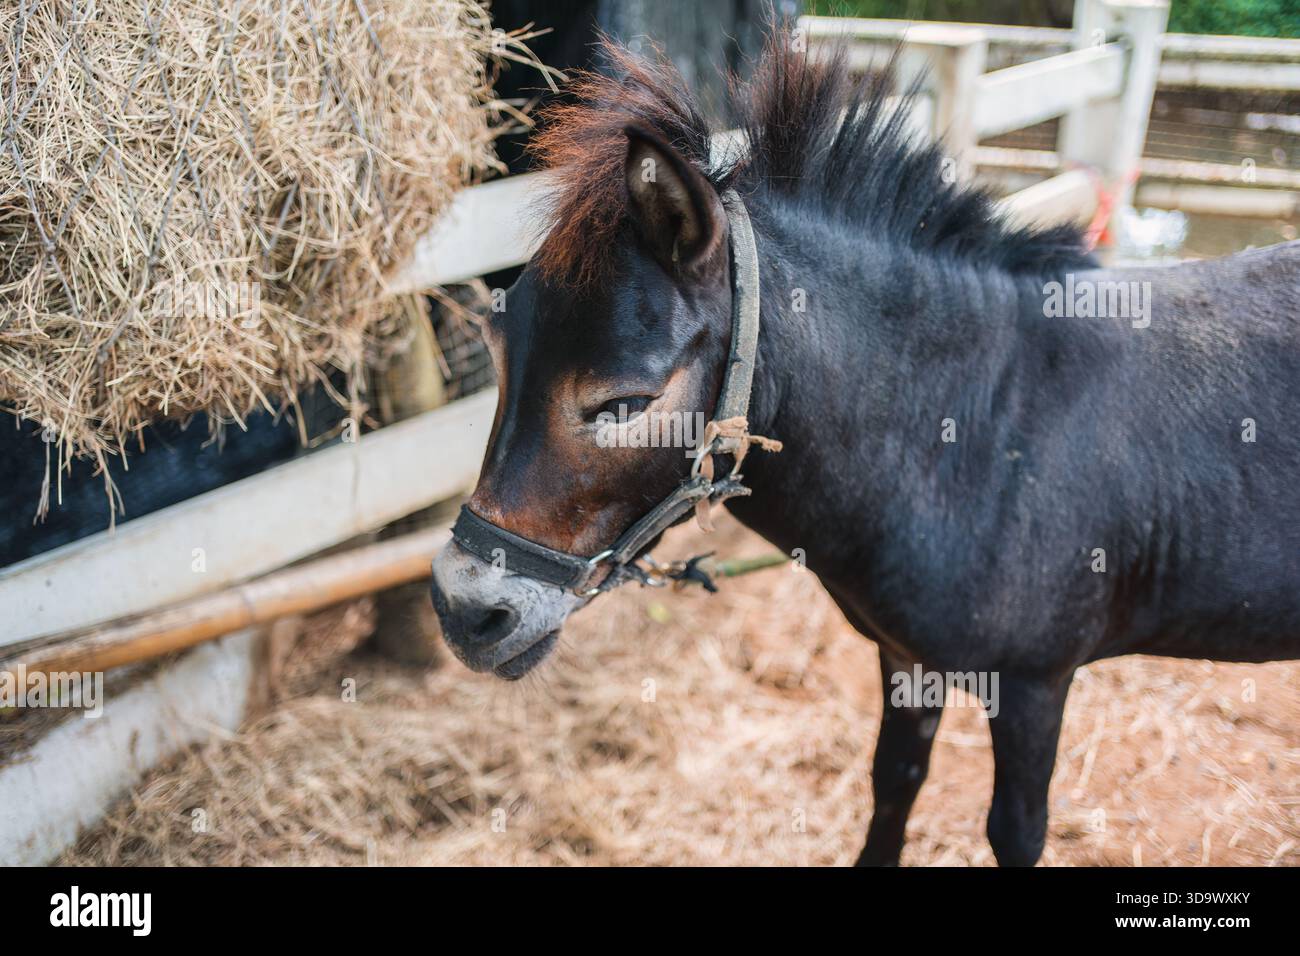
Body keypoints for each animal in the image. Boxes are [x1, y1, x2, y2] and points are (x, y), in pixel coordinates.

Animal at [429, 33, 1300, 866]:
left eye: (624, 405)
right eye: (497, 354)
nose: (461, 610)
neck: (979, 430)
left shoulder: (1034, 684)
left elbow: (1015, 831)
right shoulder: (905, 657)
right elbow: (894, 785)